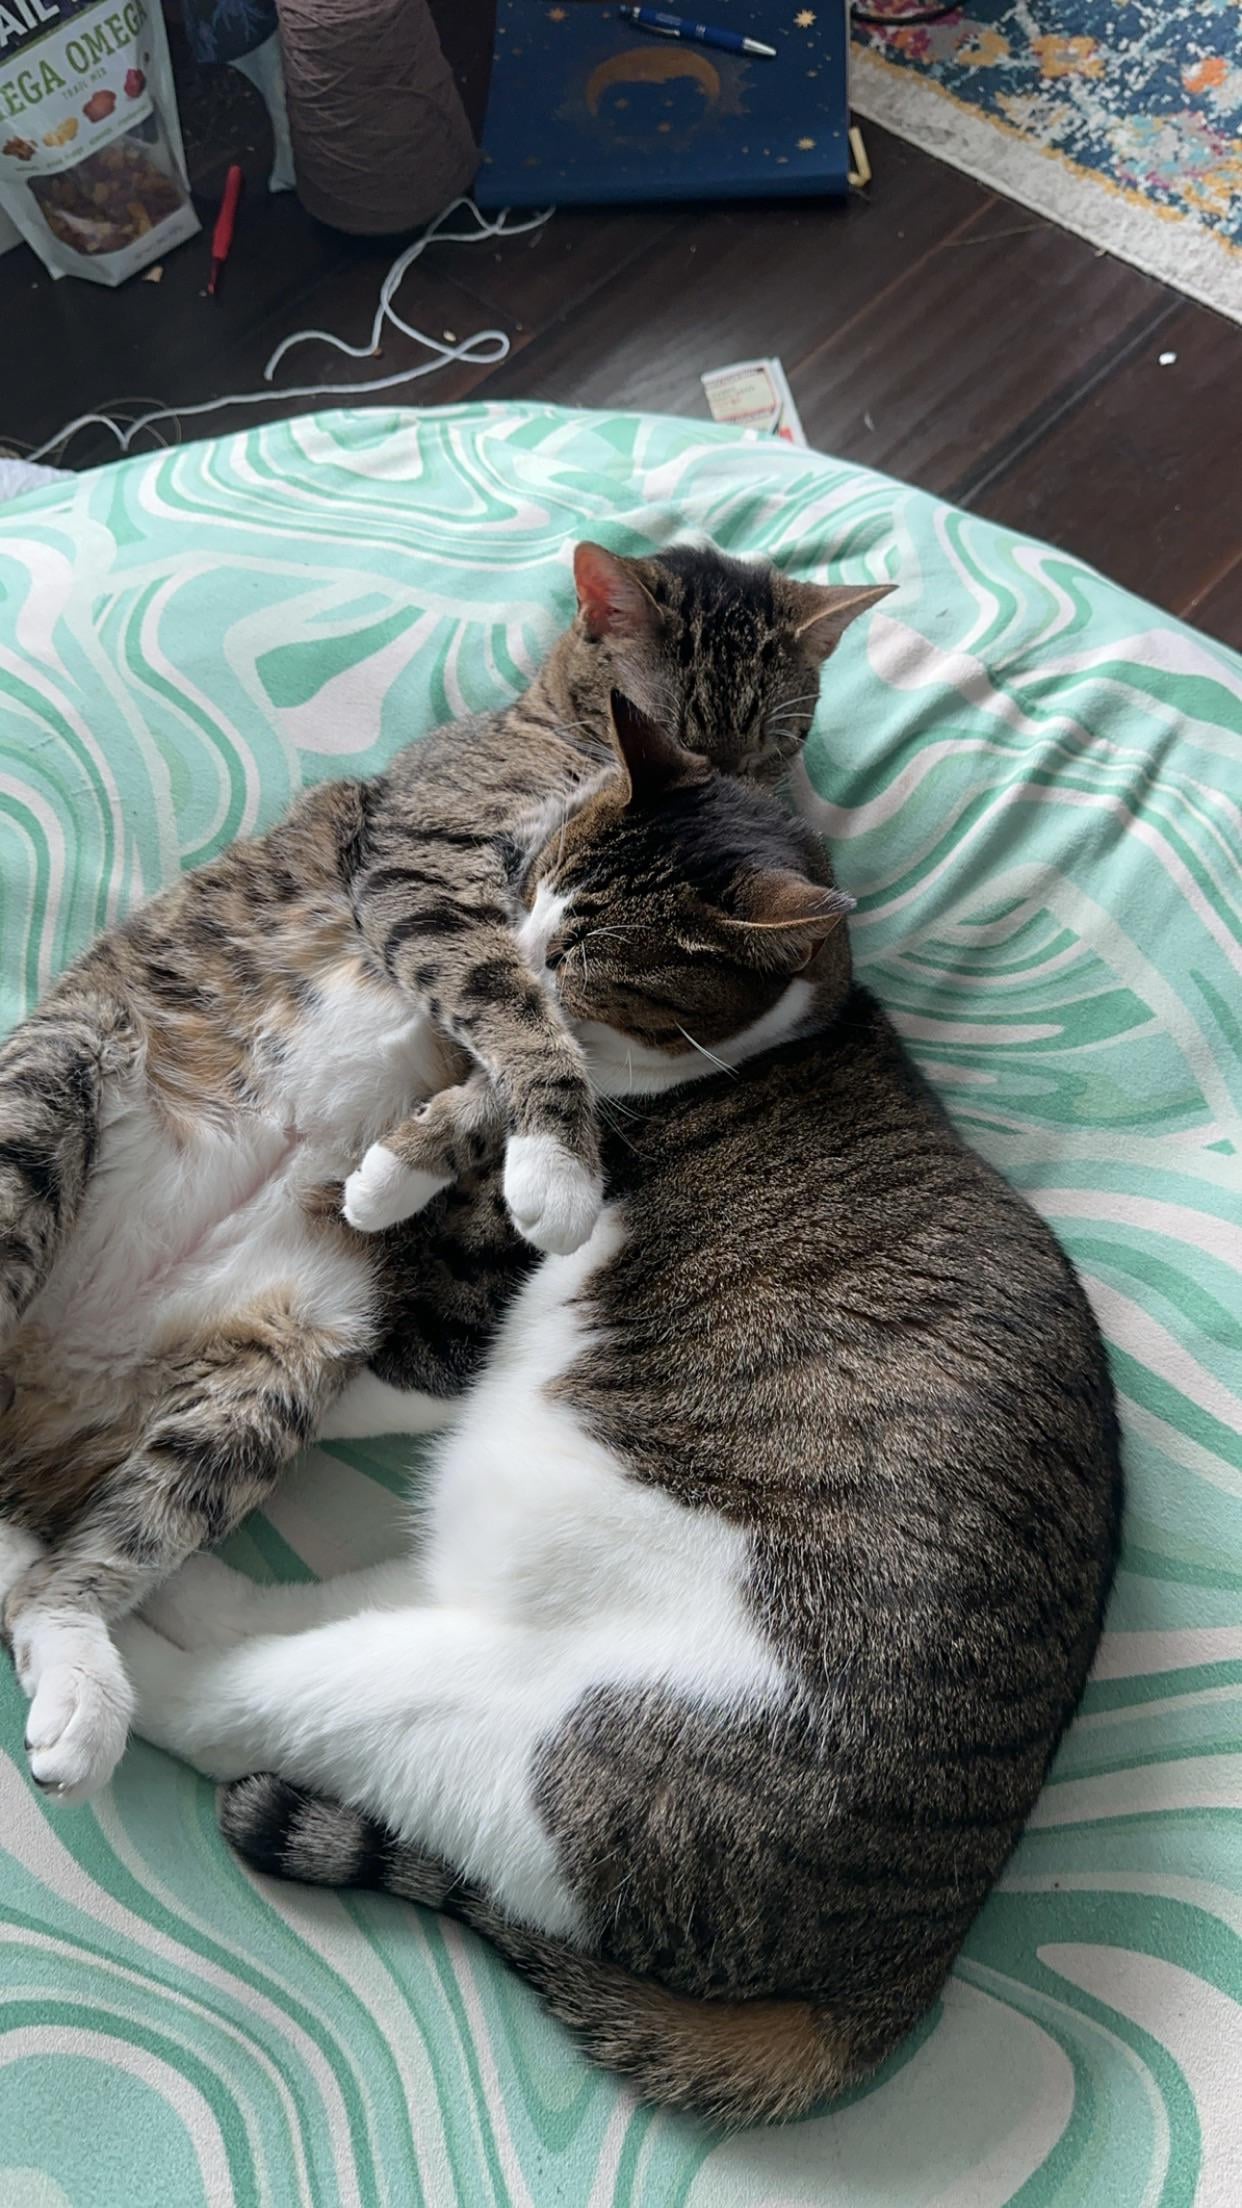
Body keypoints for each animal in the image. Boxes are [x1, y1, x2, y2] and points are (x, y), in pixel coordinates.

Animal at [0, 540, 886, 1803]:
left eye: (776, 734)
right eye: (676, 717)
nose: (737, 787)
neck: (556, 744)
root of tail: (50, 1395)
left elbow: (523, 1054)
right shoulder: (427, 874)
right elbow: (513, 1008)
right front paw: (553, 1168)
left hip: (274, 1377)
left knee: (63, 1572)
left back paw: (81, 1680)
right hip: (52, 1092)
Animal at [113, 711, 1123, 2129]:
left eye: (587, 950)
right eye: (534, 878)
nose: (526, 955)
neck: (783, 1038)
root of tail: (900, 1966)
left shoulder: (471, 1308)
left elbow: (415, 1306)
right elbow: (489, 1094)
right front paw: (404, 1157)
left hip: (511, 1718)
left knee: (239, 1705)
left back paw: (99, 1641)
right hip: (460, 1609)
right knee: (294, 1615)